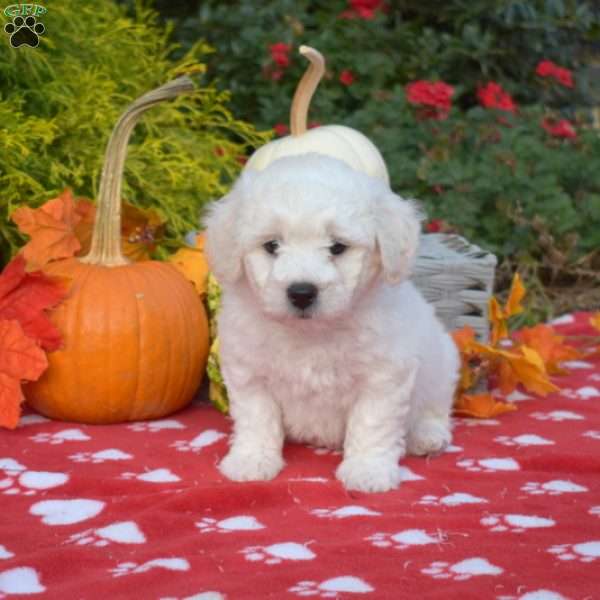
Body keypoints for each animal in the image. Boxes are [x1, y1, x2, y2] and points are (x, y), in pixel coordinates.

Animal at [203, 154, 460, 492]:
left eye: (337, 247)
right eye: (272, 245)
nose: (301, 292)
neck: (312, 332)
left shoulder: (384, 376)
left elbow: (372, 422)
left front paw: (367, 470)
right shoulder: (248, 372)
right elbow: (256, 416)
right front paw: (251, 460)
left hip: (442, 361)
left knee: (436, 406)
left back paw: (426, 436)